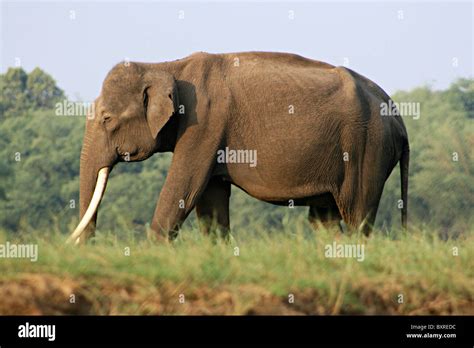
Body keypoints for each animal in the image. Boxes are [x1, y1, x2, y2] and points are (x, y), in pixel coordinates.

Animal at [66, 51, 408, 245]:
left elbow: (183, 189)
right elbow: (210, 200)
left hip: (366, 147)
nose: (88, 246)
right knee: (324, 218)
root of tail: (399, 117)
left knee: (357, 215)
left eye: (107, 119)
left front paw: (155, 252)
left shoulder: (203, 124)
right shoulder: (209, 136)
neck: (168, 65)